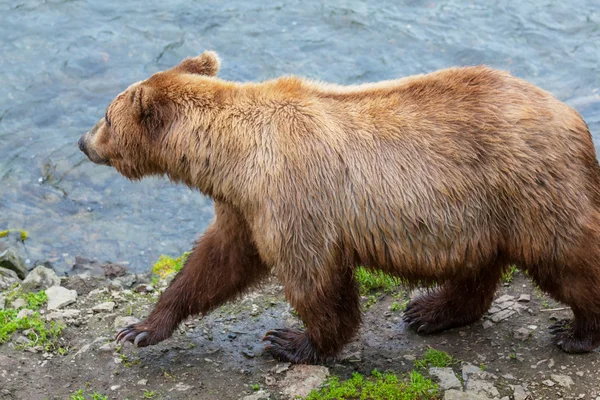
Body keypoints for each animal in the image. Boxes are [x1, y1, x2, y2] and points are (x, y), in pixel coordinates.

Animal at [78, 50, 600, 362]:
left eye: (106, 115)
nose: (83, 141)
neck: (231, 156)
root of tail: (574, 118)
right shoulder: (243, 206)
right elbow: (215, 263)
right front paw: (141, 328)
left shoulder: (292, 196)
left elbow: (314, 280)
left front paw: (291, 341)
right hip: (481, 213)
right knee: (478, 267)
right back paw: (430, 311)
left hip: (530, 191)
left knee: (568, 257)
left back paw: (577, 332)